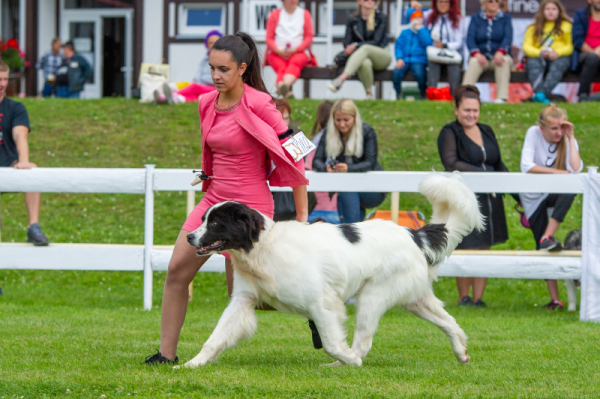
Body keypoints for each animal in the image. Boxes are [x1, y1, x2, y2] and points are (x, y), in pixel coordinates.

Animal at [182, 172, 482, 368]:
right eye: (204, 219)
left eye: (215, 223)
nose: (189, 237)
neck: (263, 246)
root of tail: (414, 235)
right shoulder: (242, 301)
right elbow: (215, 337)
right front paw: (191, 364)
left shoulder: (322, 302)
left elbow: (330, 343)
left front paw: (348, 358)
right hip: (414, 298)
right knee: (449, 322)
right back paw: (462, 352)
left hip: (372, 296)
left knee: (363, 341)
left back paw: (348, 362)